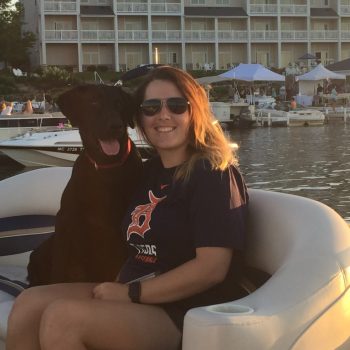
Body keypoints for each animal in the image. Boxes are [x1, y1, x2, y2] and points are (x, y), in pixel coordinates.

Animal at [26, 85, 143, 288]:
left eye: (119, 103)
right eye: (93, 102)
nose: (116, 126)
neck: (106, 168)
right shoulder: (65, 219)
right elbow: (59, 267)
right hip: (44, 248)